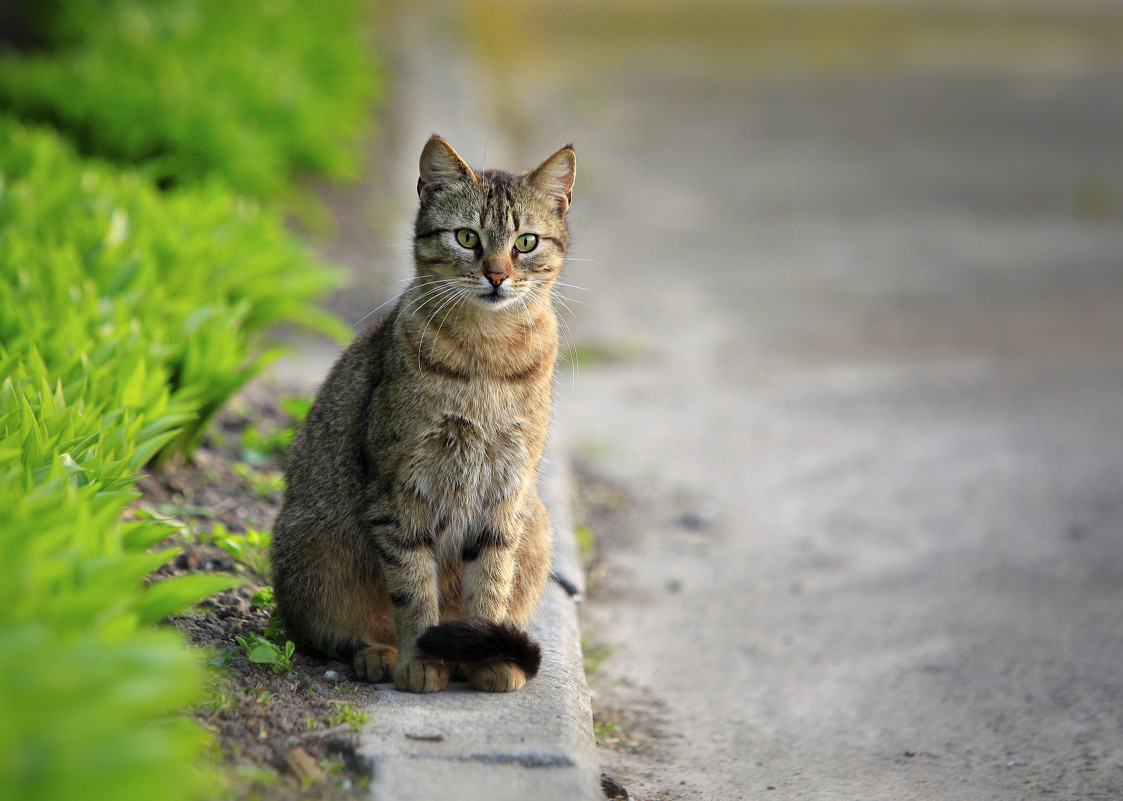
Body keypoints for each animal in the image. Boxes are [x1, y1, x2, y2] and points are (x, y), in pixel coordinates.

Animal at [267, 134, 574, 692]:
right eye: (467, 237)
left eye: (525, 243)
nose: (497, 275)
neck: (487, 358)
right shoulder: (400, 492)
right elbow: (413, 594)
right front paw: (420, 661)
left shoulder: (505, 492)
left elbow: (490, 586)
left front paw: (487, 656)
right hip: (311, 543)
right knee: (341, 632)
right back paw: (380, 654)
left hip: (536, 527)